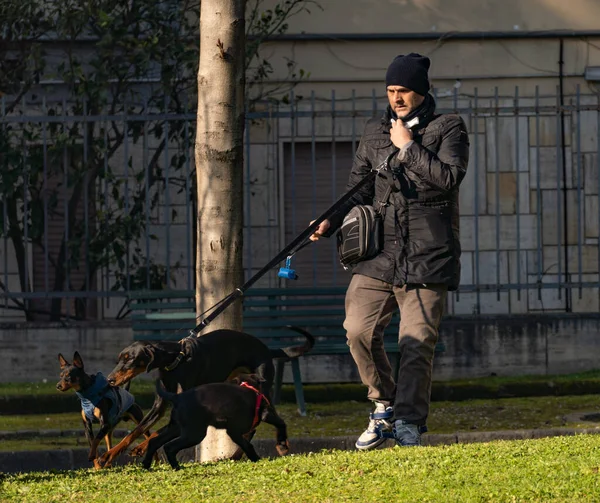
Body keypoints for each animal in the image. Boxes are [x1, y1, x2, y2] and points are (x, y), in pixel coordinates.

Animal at [142, 378, 290, 472]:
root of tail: (177, 397)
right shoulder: (236, 431)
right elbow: (251, 443)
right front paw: (274, 449)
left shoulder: (235, 432)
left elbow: (247, 444)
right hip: (194, 434)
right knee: (169, 446)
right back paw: (176, 467)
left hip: (176, 428)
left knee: (155, 441)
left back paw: (146, 465)